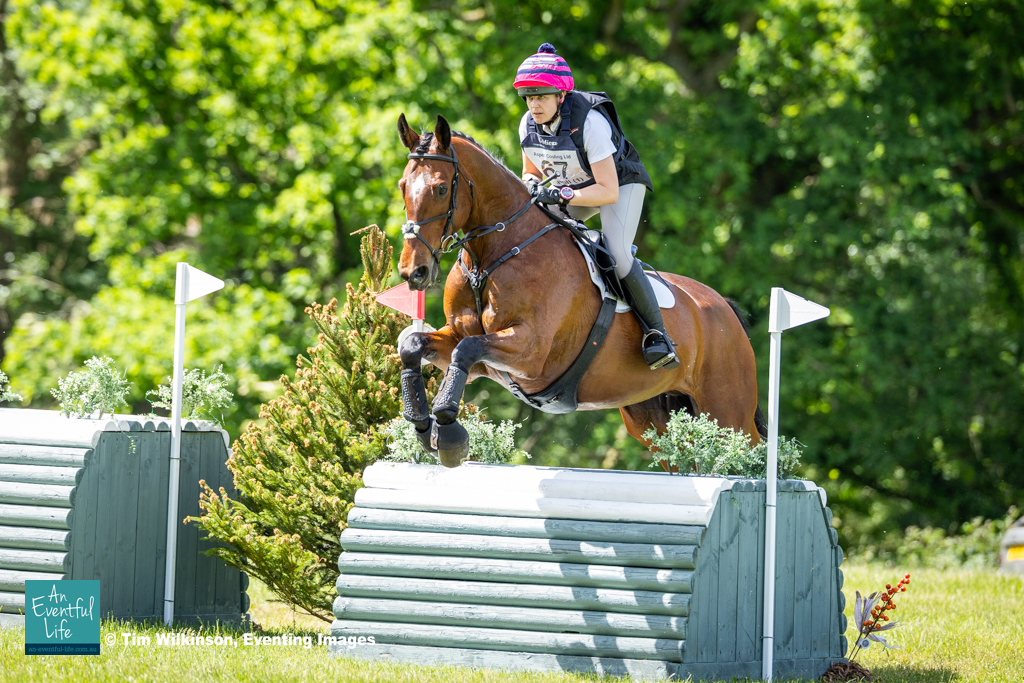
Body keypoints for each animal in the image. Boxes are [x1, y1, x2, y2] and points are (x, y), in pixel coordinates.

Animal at [396, 113, 765, 467]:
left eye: (440, 189)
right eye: (402, 187)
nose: (414, 272)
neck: (491, 256)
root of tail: (723, 307)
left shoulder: (532, 351)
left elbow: (467, 349)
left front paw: (449, 432)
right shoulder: (467, 346)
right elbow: (415, 345)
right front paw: (423, 426)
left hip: (729, 414)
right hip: (654, 420)